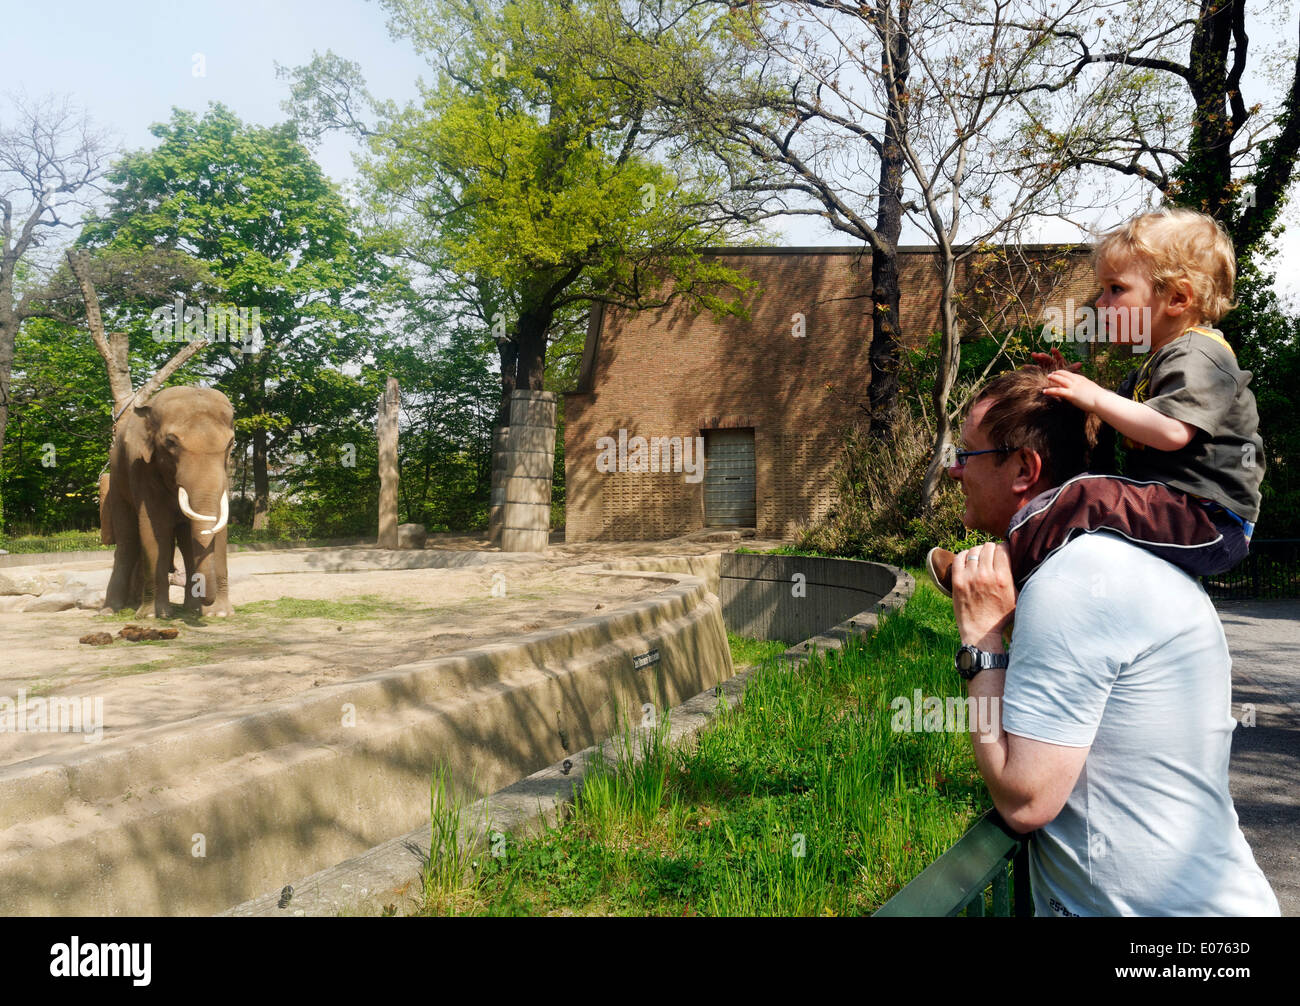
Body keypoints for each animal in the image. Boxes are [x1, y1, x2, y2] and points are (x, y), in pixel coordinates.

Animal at [101, 387, 236, 618]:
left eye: (230, 444)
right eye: (171, 442)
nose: (208, 601)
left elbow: (219, 528)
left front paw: (219, 614)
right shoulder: (141, 467)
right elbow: (155, 527)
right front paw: (154, 615)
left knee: (185, 542)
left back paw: (190, 609)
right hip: (118, 483)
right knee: (127, 541)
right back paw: (110, 611)